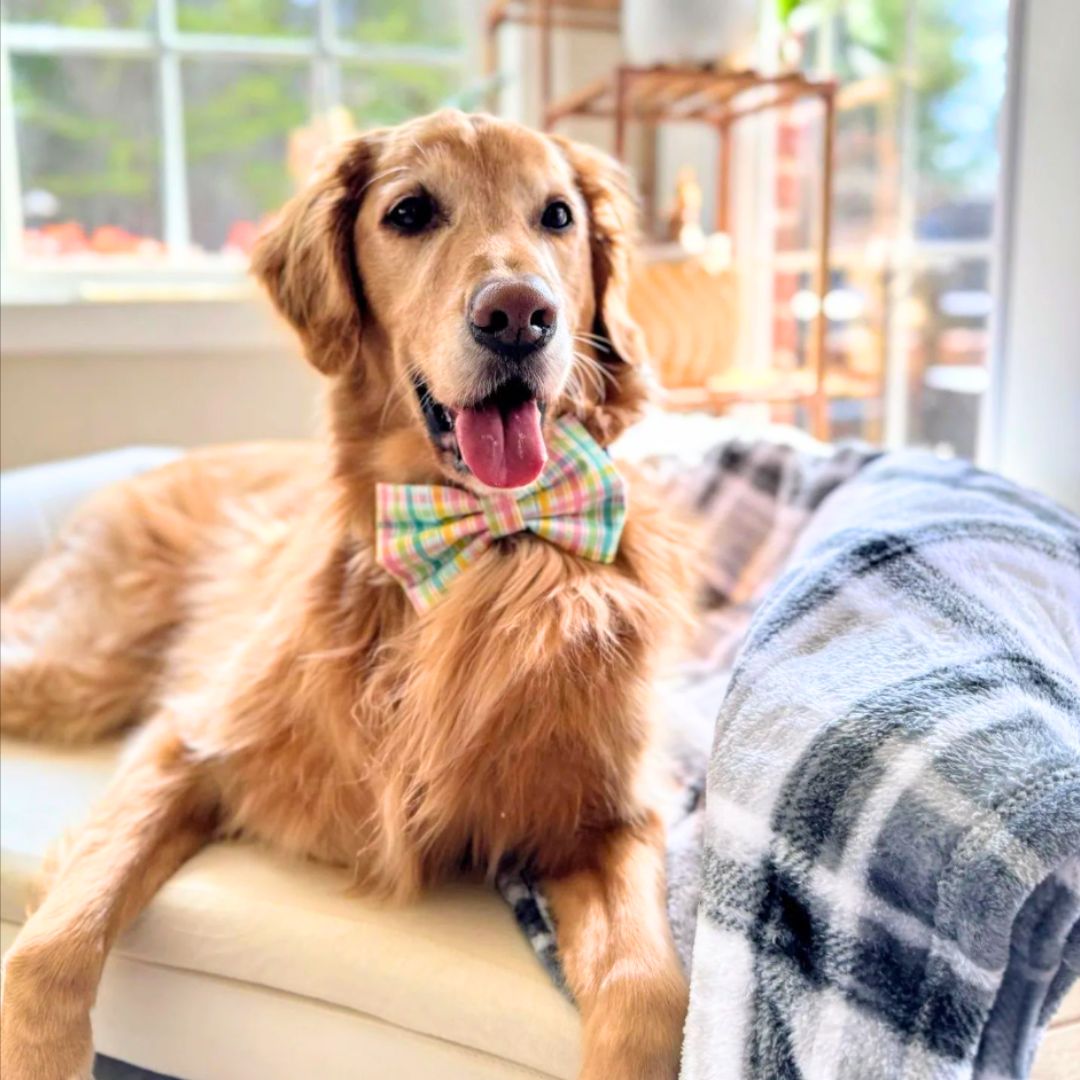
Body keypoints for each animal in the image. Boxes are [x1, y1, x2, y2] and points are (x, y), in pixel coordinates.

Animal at [0, 111, 691, 1080]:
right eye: (410, 212)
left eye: (558, 215)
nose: (519, 315)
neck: (474, 545)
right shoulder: (186, 738)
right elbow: (56, 939)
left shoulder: (613, 817)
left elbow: (650, 990)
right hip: (72, 668)